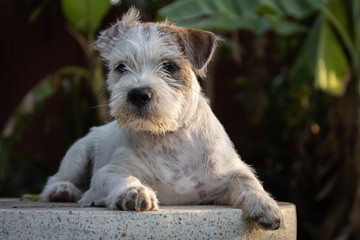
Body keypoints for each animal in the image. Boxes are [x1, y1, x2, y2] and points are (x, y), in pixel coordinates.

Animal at [40, 6, 284, 230]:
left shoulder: (230, 171)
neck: (167, 136)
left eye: (169, 66)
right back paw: (62, 191)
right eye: (121, 67)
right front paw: (135, 192)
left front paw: (266, 205)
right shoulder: (107, 173)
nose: (138, 94)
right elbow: (124, 178)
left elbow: (247, 180)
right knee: (56, 179)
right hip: (79, 154)